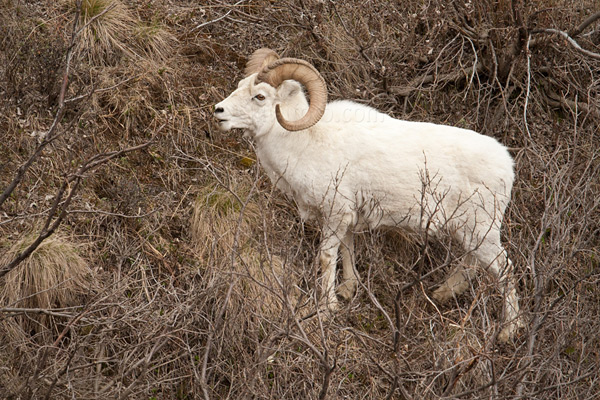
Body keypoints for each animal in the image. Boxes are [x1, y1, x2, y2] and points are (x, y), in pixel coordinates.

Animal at [213, 47, 524, 340]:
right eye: (241, 85)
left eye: (260, 96)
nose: (219, 112)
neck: (305, 142)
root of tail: (507, 165)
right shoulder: (345, 217)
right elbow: (347, 250)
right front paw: (347, 290)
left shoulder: (335, 213)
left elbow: (327, 257)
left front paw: (327, 308)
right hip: (468, 231)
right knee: (470, 263)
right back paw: (442, 294)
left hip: (480, 230)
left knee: (504, 269)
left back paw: (508, 331)